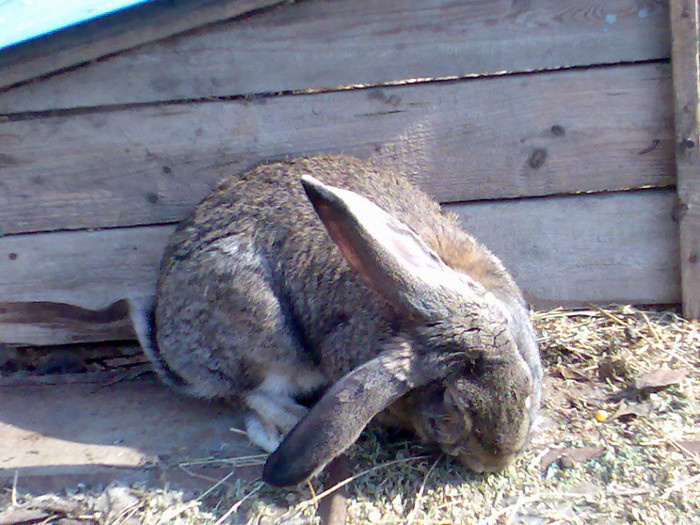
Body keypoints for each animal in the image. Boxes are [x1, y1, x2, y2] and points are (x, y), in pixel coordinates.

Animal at [129, 154, 544, 486]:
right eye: (446, 417)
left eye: (525, 387)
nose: (496, 461)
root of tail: (168, 343)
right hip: (265, 335)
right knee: (249, 395)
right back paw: (290, 421)